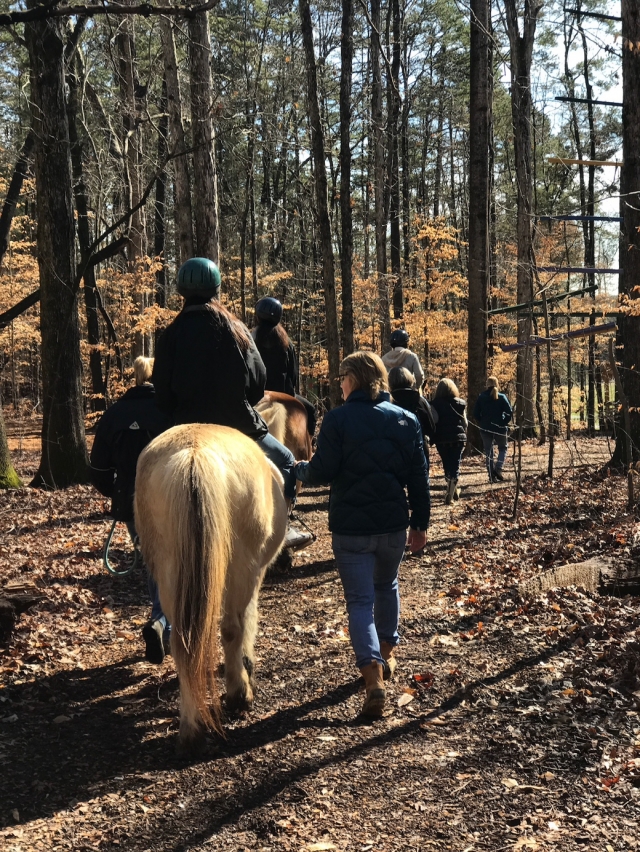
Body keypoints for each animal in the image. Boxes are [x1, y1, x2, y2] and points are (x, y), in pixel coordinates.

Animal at [135, 422, 288, 752]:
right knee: (231, 627)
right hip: (241, 566)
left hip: (170, 573)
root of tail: (195, 454)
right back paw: (238, 694)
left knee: (182, 642)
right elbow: (248, 622)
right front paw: (247, 669)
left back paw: (190, 731)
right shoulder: (255, 573)